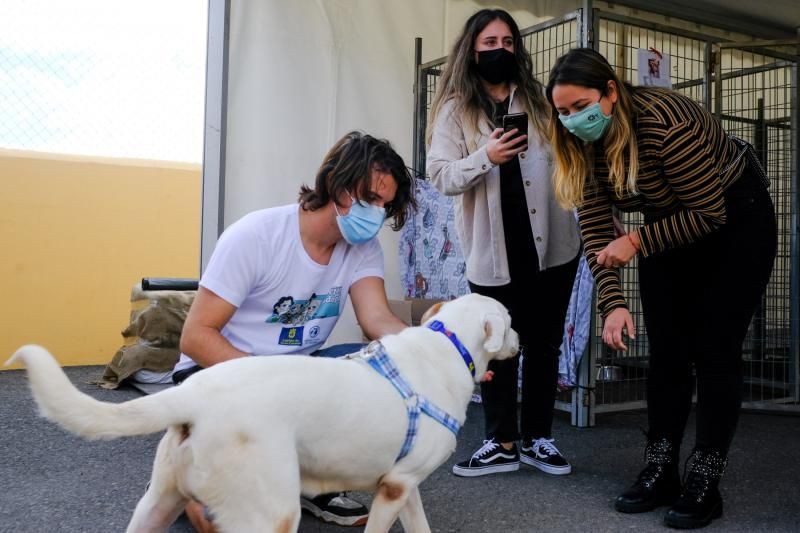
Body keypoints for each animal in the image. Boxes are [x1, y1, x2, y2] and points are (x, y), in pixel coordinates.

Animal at [7, 294, 520, 532]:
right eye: (512, 322)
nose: (521, 341)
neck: (449, 345)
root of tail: (196, 394)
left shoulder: (404, 483)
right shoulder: (394, 489)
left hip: (157, 501)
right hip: (269, 510)